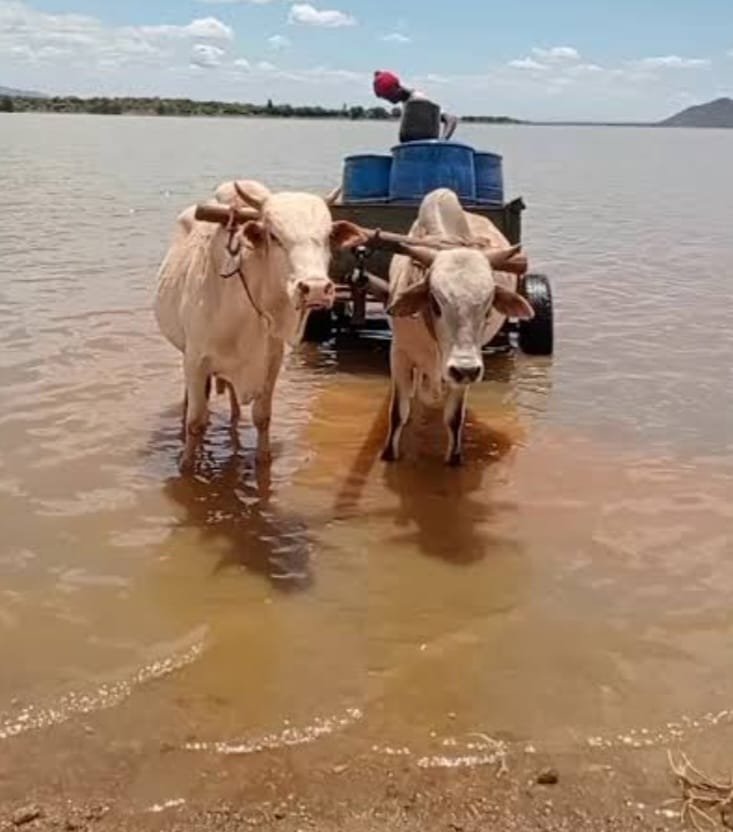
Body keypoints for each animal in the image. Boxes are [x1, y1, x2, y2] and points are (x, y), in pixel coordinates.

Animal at [154, 179, 364, 468]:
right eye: (274, 236)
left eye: (326, 238)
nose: (316, 289)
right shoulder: (195, 361)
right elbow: (195, 422)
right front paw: (186, 466)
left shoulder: (271, 362)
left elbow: (262, 418)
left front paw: (263, 459)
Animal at [381, 188, 535, 466]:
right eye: (435, 302)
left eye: (488, 306)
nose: (464, 369)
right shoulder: (400, 353)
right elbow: (398, 412)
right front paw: (389, 454)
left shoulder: (466, 369)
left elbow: (453, 418)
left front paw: (454, 458)